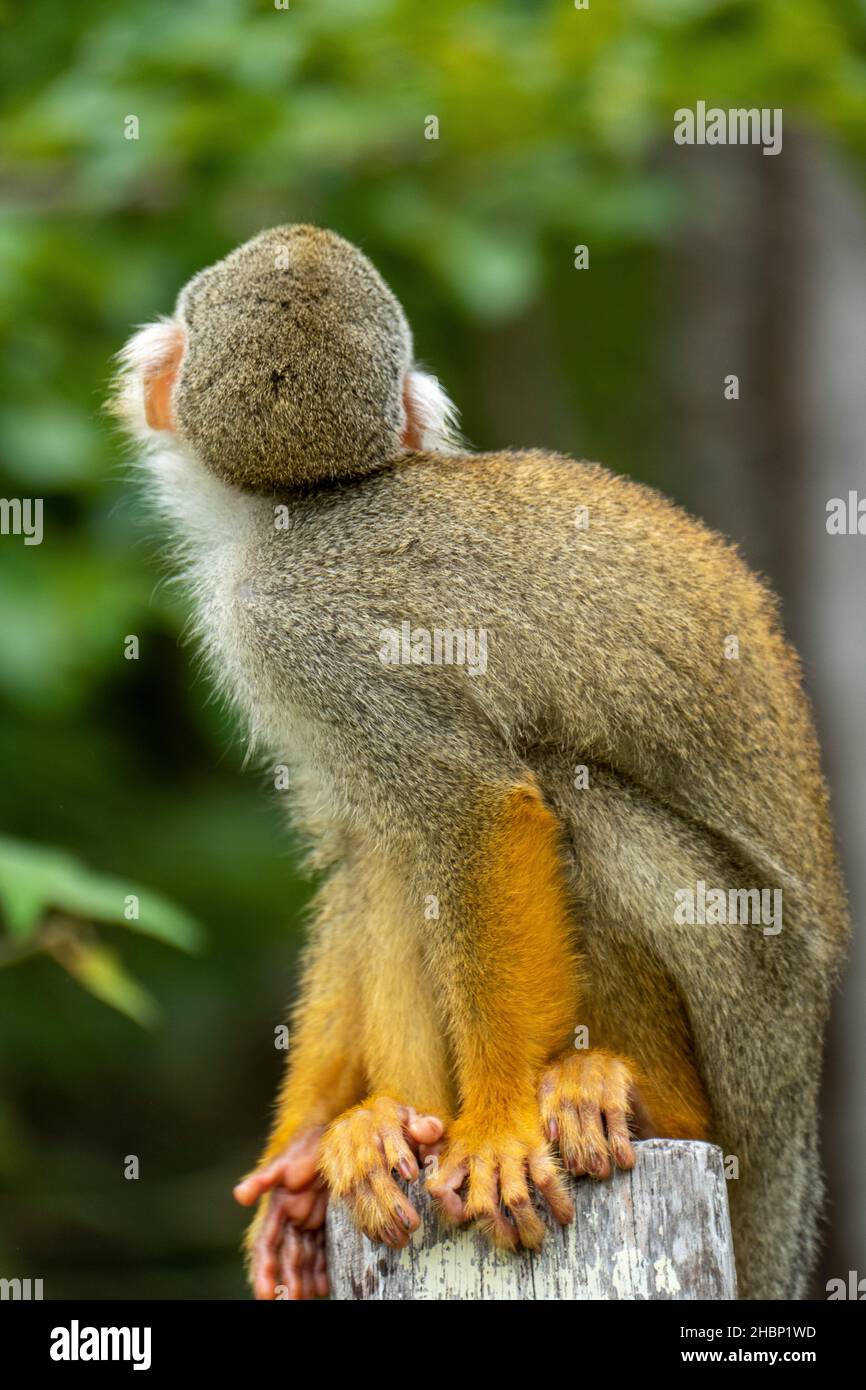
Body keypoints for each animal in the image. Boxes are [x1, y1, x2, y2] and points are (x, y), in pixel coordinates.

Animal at [113, 222, 845, 1295]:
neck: (300, 512)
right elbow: (359, 843)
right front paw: (302, 1152)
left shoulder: (288, 630)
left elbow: (477, 810)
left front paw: (497, 1127)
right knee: (397, 848)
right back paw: (389, 1129)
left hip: (750, 1003)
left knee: (572, 806)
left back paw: (631, 1100)